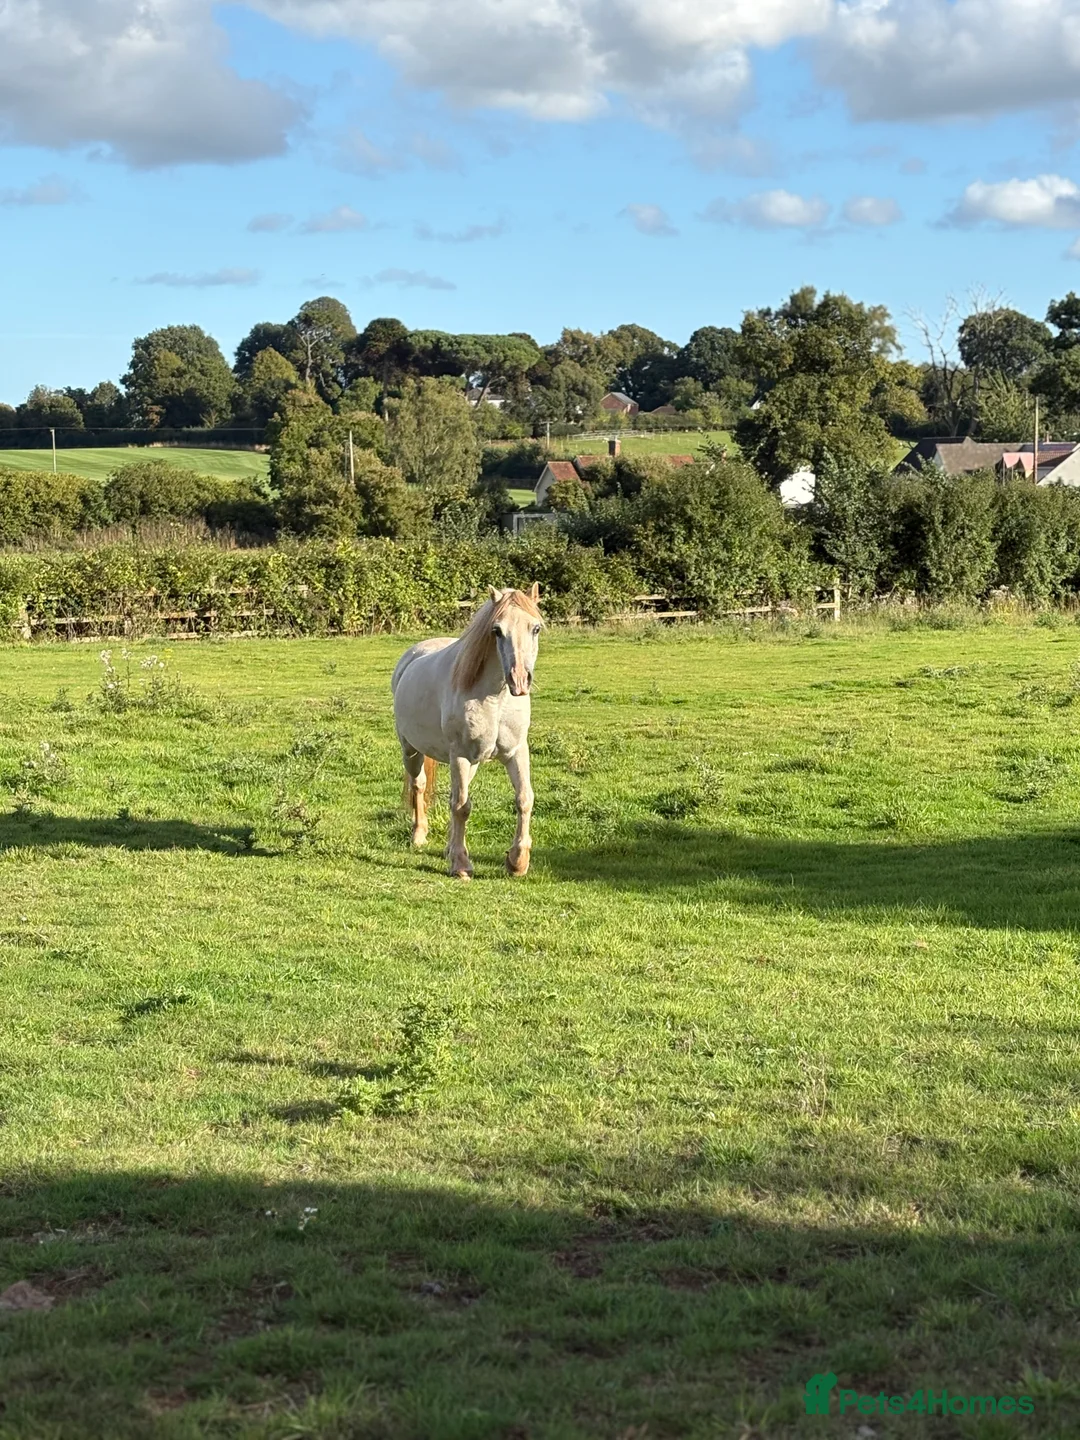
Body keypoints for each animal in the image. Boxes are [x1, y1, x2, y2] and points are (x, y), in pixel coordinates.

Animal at [391, 585, 544, 880]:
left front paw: (517, 862)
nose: (519, 680)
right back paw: (419, 835)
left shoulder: (516, 751)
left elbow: (524, 799)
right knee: (419, 785)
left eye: (536, 628)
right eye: (497, 630)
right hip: (411, 750)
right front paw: (461, 865)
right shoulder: (460, 755)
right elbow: (462, 807)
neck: (494, 699)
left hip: (471, 762)